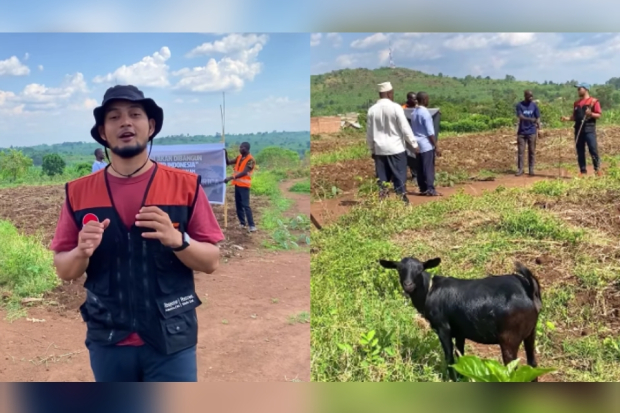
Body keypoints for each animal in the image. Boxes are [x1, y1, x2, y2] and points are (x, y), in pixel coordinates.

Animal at [378, 256, 544, 382]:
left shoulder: (443, 328)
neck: (429, 292)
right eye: (399, 269)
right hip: (531, 332)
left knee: (512, 370)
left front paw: (452, 379)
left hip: (509, 338)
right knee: (532, 364)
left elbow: (450, 358)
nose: (408, 285)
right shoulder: (460, 331)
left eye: (420, 270)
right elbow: (461, 356)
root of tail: (529, 289)